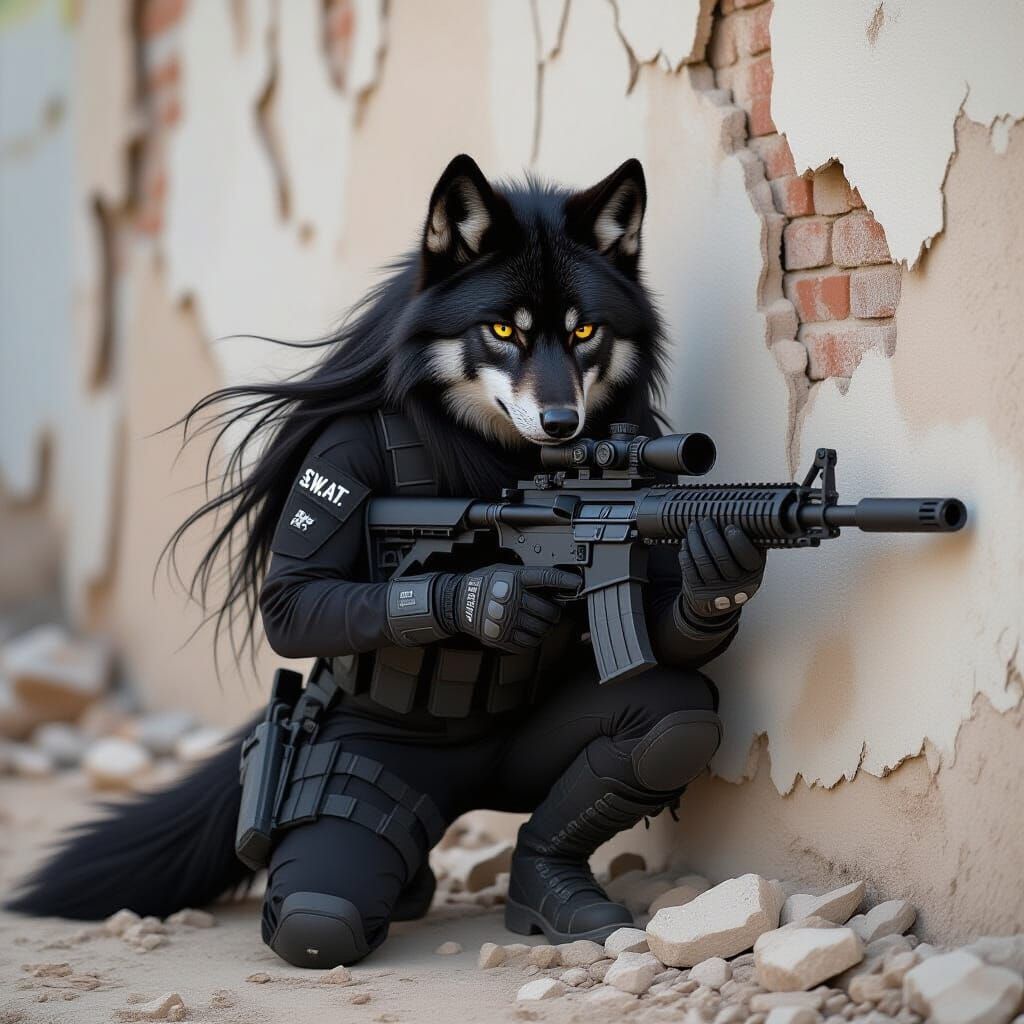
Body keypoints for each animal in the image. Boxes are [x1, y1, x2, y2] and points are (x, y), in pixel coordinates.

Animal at [8, 155, 764, 968]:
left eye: (586, 330)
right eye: (502, 329)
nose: (565, 424)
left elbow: (663, 635)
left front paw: (718, 576)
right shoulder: (338, 448)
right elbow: (296, 599)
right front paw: (484, 601)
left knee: (667, 719)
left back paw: (543, 884)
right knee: (321, 909)